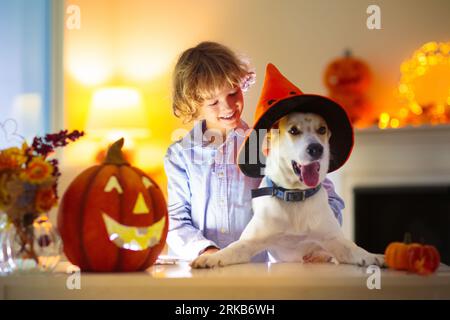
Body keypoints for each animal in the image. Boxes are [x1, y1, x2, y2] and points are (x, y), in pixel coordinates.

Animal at [190, 112, 384, 268]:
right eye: (293, 131)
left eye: (322, 129)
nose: (317, 149)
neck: (295, 195)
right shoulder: (249, 242)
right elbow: (231, 249)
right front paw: (210, 258)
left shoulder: (333, 241)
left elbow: (353, 249)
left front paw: (374, 257)